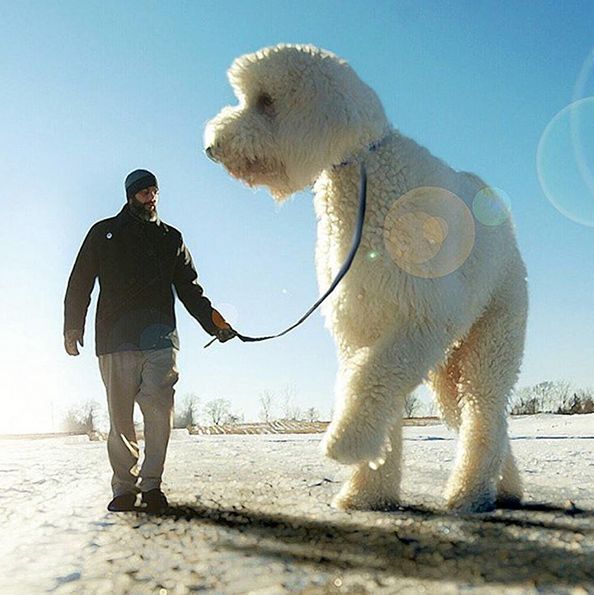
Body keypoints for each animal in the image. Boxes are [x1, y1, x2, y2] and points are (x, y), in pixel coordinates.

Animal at [205, 45, 528, 512]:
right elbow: (370, 384)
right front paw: (368, 494)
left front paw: (347, 445)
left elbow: (371, 378)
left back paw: (469, 493)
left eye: (265, 101)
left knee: (484, 409)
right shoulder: (360, 323)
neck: (363, 169)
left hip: (494, 334)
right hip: (448, 367)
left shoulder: (420, 318)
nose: (211, 147)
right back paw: (504, 487)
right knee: (480, 416)